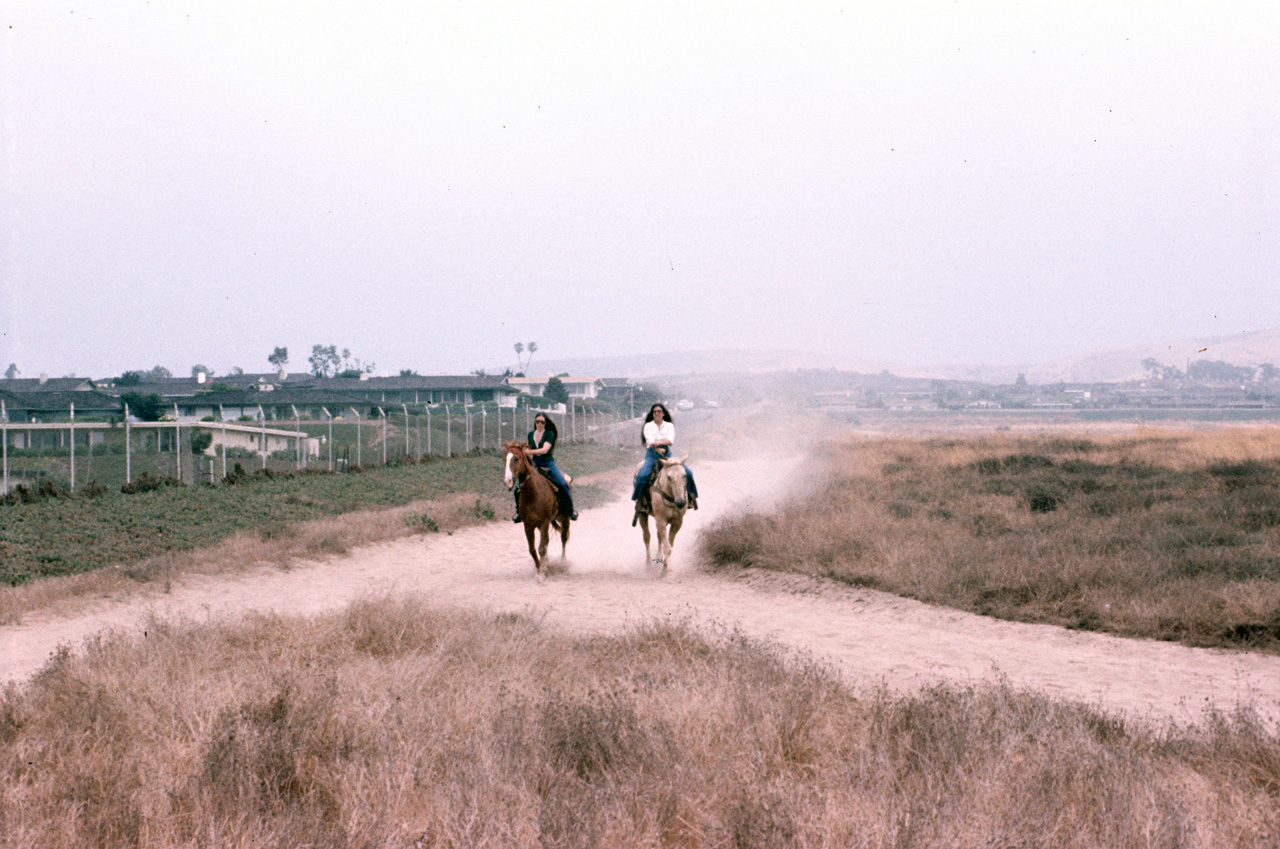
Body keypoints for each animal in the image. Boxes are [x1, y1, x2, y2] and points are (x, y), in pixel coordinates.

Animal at [504, 440, 570, 581]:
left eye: (516, 459)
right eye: (504, 459)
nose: (508, 481)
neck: (533, 493)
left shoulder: (544, 523)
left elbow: (541, 548)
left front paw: (541, 573)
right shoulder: (528, 525)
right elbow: (533, 550)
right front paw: (542, 568)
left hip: (564, 517)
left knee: (564, 537)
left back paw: (563, 562)